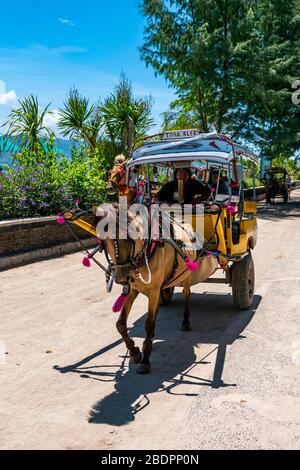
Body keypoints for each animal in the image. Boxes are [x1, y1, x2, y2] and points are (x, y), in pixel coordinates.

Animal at [94, 204, 218, 372]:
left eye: (128, 238)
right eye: (105, 241)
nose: (121, 278)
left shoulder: (153, 291)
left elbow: (149, 324)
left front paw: (145, 359)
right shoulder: (133, 289)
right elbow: (120, 324)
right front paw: (134, 351)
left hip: (186, 275)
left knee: (186, 294)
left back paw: (185, 321)